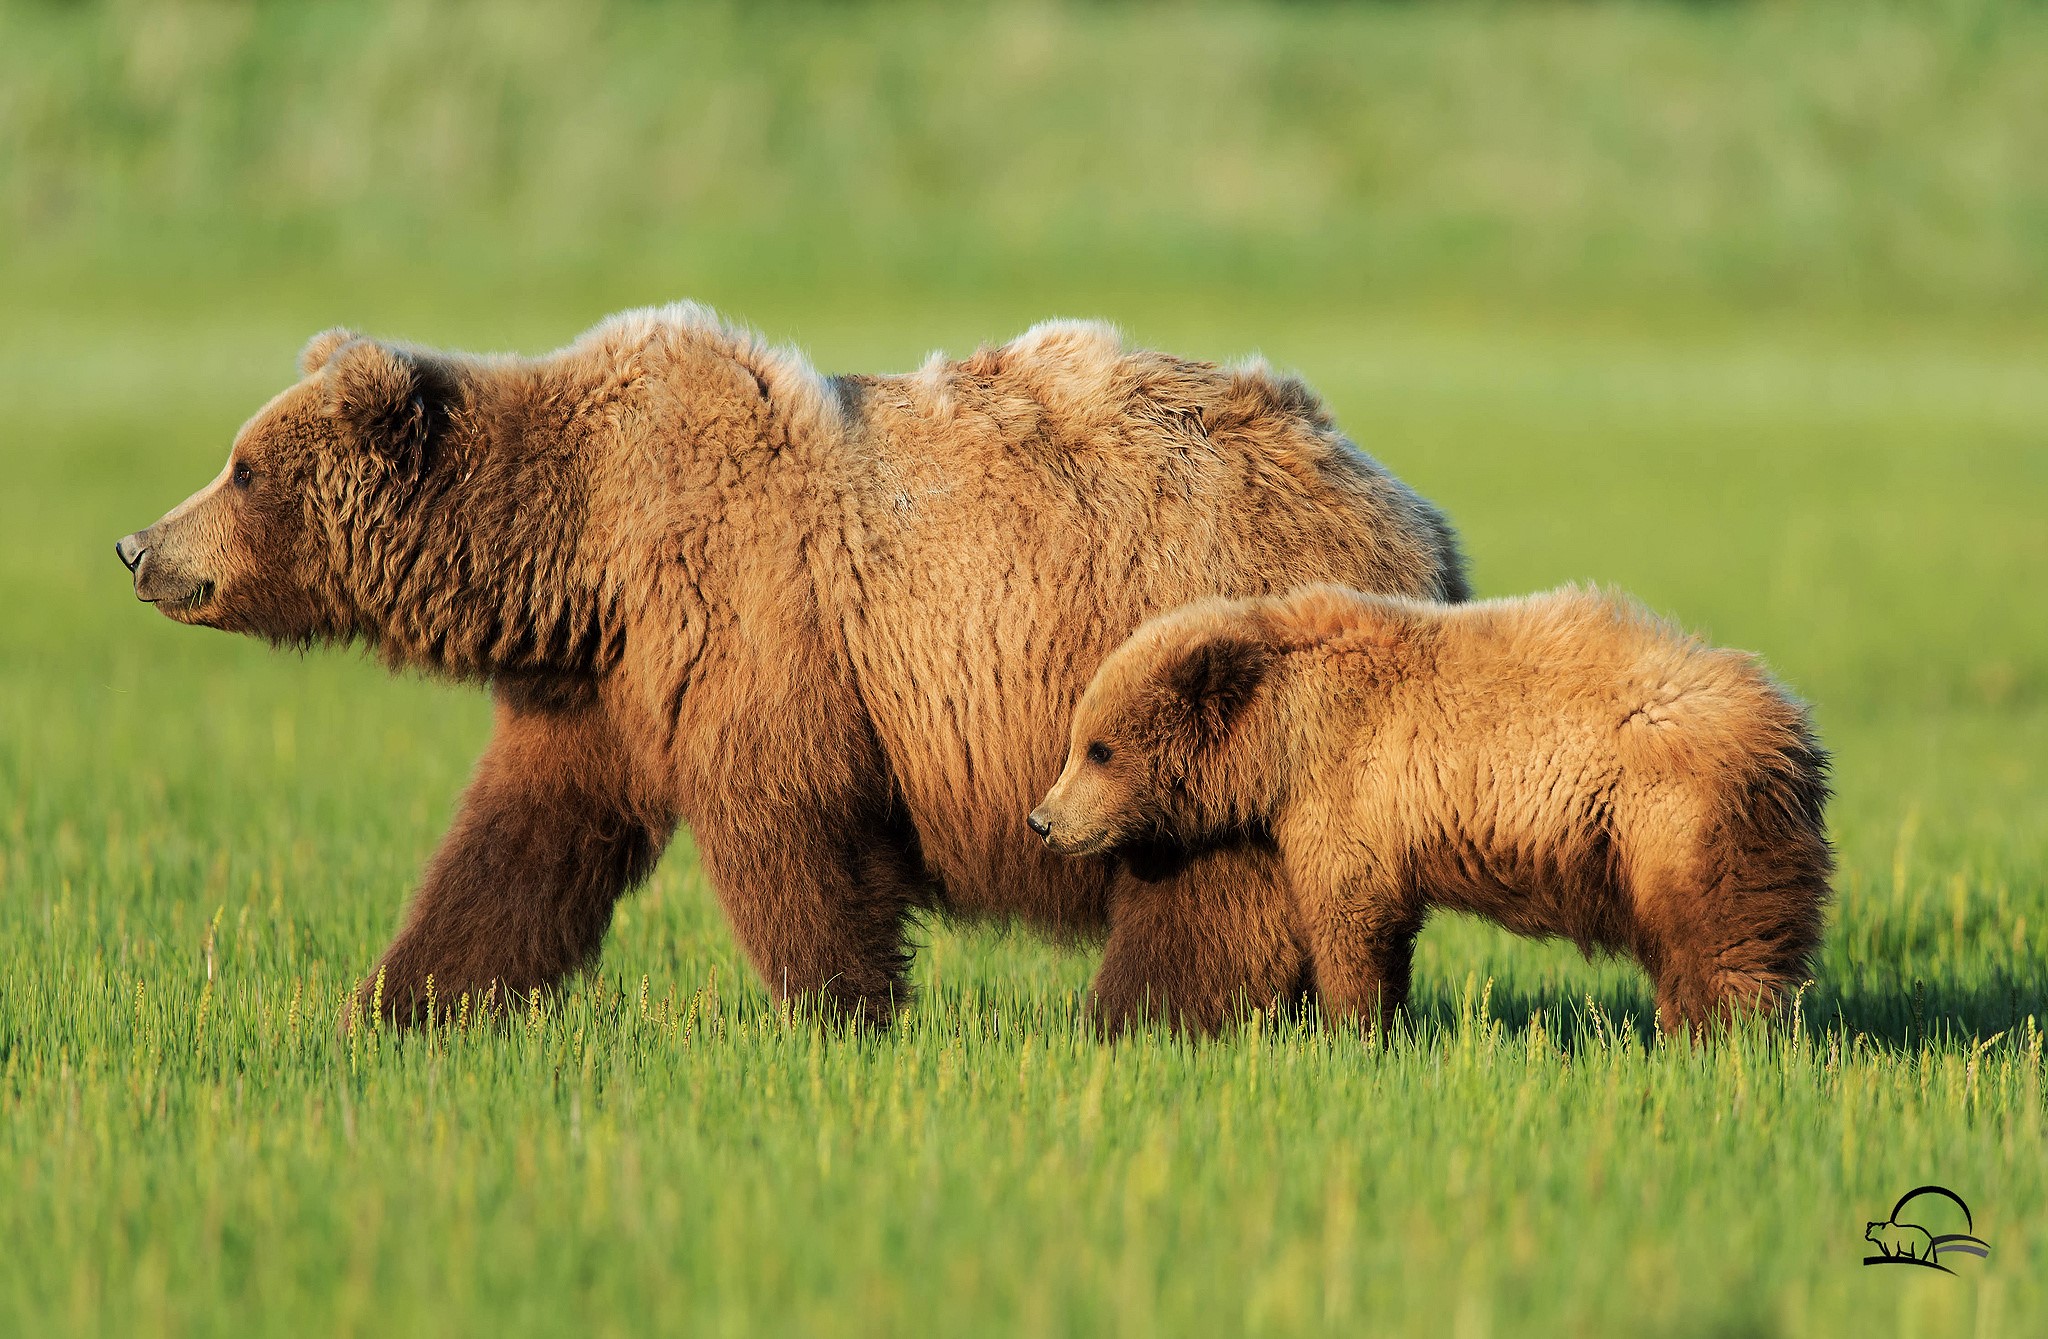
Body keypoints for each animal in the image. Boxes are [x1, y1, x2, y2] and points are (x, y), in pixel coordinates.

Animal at [114, 305, 1467, 1031]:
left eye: (240, 468)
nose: (137, 547)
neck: (582, 548)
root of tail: (1421, 520)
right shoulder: (603, 689)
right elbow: (519, 846)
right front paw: (396, 1006)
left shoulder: (749, 619)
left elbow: (790, 826)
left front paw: (843, 1015)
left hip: (1196, 672)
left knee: (1203, 882)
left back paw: (1136, 1019)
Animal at [1028, 583, 1832, 1034]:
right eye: (1077, 741)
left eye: (1099, 749)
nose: (1043, 820)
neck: (1280, 733)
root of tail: (1793, 730)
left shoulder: (1346, 787)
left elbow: (1351, 914)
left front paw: (1354, 1027)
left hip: (1674, 820)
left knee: (1718, 943)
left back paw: (1711, 1040)